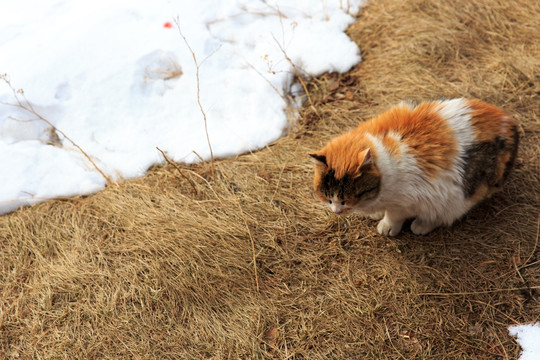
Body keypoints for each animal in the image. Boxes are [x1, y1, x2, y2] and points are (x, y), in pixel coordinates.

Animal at [312, 98, 520, 236]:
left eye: (345, 199)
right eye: (328, 197)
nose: (336, 211)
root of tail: (510, 123)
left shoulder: (405, 201)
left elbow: (393, 215)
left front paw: (387, 226)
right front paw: (376, 214)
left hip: (458, 195)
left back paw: (421, 225)